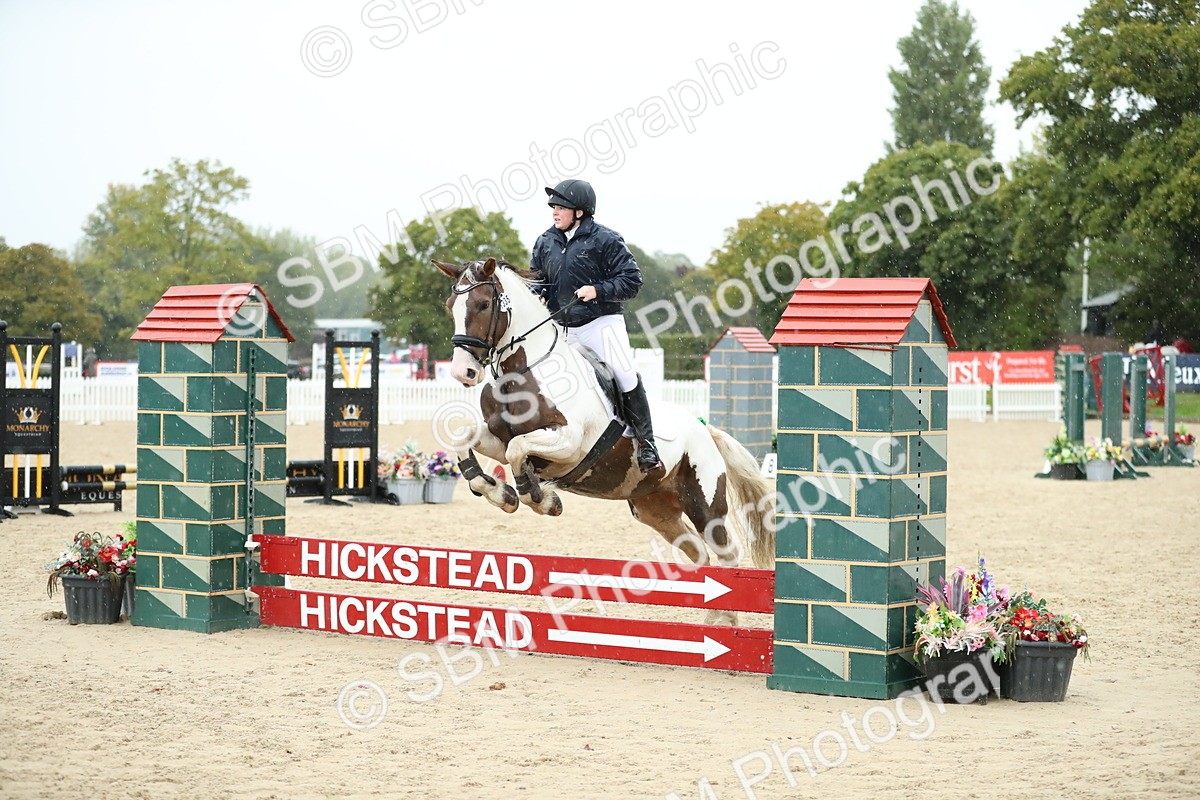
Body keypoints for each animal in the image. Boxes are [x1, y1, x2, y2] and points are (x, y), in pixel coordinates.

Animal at [433, 257, 775, 621]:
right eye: (451, 306)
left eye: (484, 304)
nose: (463, 373)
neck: (523, 374)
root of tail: (705, 430)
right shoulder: (496, 437)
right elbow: (466, 440)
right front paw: (500, 493)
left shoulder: (566, 443)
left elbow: (517, 451)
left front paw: (541, 498)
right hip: (655, 509)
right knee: (699, 555)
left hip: (705, 505)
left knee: (727, 555)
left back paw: (720, 620)